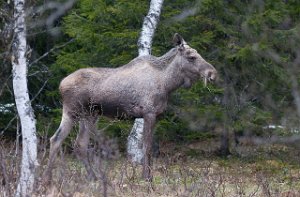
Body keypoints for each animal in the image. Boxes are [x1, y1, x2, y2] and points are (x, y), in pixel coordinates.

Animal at [43, 33, 217, 182]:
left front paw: (148, 176)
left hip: (90, 115)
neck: (167, 83)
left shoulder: (155, 115)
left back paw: (90, 177)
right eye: (192, 57)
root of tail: (60, 85)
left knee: (75, 143)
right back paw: (49, 178)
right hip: (73, 111)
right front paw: (146, 178)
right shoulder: (149, 113)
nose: (212, 74)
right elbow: (146, 147)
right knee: (59, 139)